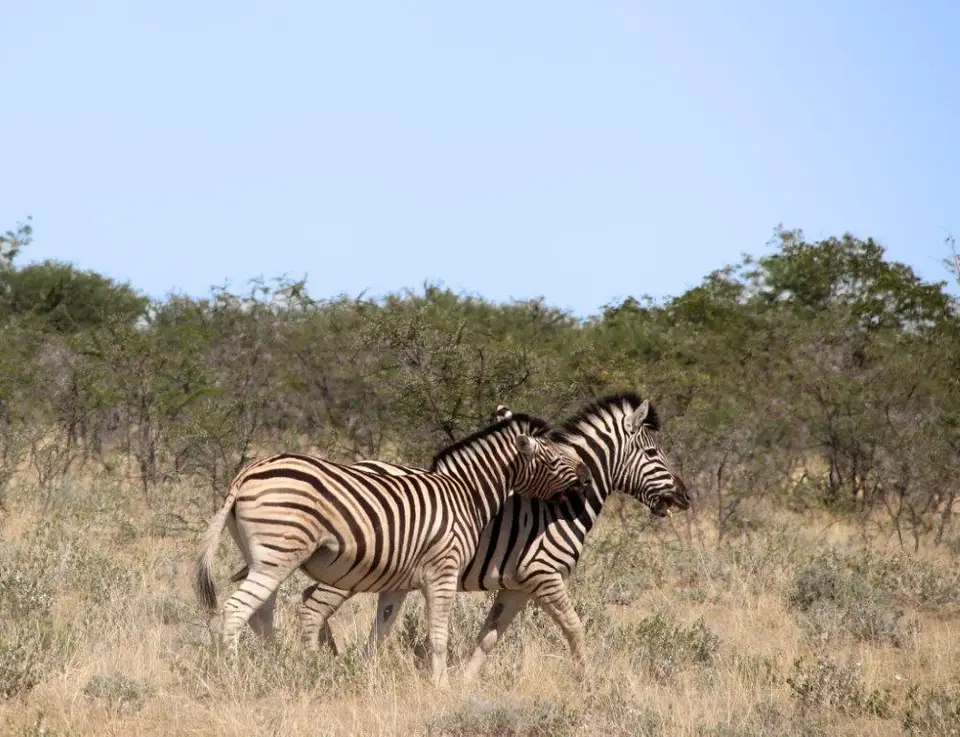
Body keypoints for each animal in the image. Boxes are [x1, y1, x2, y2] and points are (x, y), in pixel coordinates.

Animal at [192, 411, 591, 685]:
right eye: (554, 458)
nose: (587, 478)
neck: (465, 494)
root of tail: (247, 473)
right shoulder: (443, 572)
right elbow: (438, 636)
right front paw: (441, 687)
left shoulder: (398, 583)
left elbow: (381, 633)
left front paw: (367, 676)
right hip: (276, 556)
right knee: (237, 609)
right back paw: (235, 674)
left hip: (263, 557)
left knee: (260, 612)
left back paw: (280, 666)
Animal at [298, 393, 689, 678]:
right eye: (653, 452)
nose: (685, 497)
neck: (560, 507)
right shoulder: (544, 574)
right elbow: (575, 627)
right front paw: (588, 680)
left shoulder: (518, 586)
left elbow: (489, 635)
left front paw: (464, 682)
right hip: (356, 567)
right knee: (314, 604)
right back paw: (321, 664)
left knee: (310, 598)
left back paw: (335, 661)